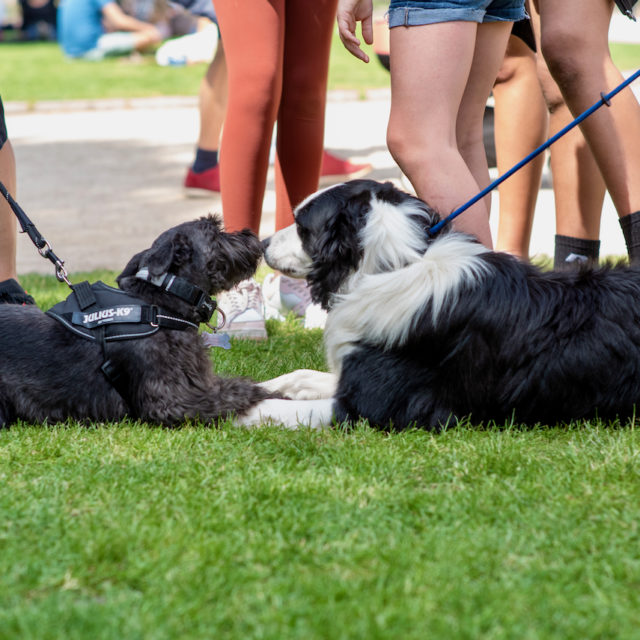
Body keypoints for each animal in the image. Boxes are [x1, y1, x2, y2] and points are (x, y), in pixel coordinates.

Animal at [262, 180, 640, 430]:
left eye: (301, 227)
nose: (263, 242)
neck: (398, 265)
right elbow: (301, 376)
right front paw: (269, 384)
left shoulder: (383, 405)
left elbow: (282, 410)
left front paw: (250, 409)